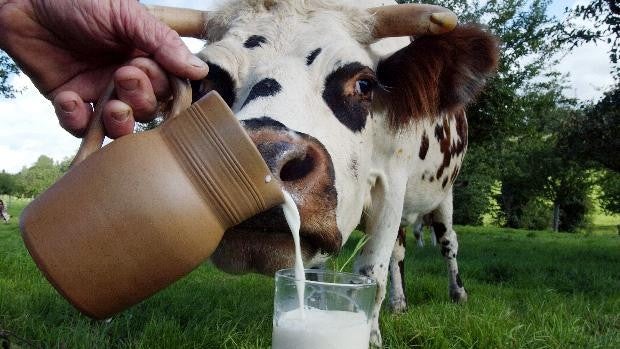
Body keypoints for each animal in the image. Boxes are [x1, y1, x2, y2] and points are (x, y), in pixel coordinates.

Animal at [168, 0, 498, 344]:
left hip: (444, 194)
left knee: (448, 242)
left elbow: (371, 275)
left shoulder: (392, 187)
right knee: (399, 251)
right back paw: (400, 304)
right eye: (203, 83)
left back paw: (458, 293)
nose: (262, 161)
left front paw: (372, 338)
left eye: (364, 83)